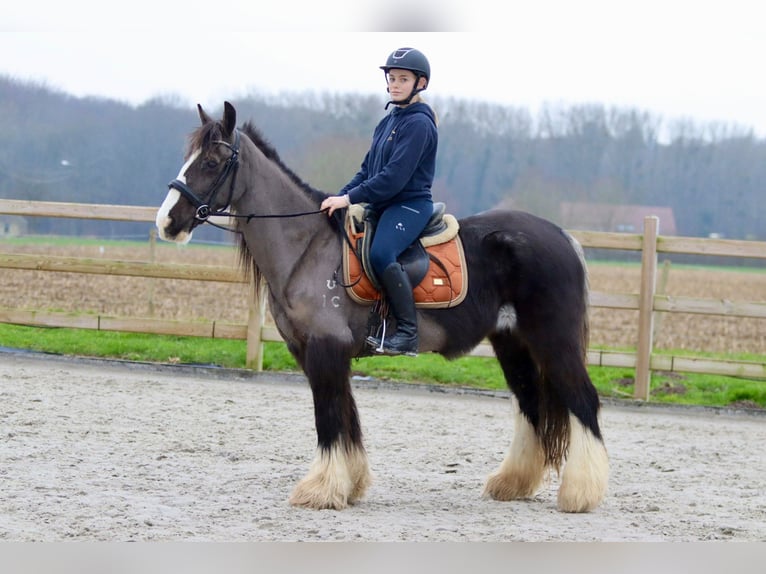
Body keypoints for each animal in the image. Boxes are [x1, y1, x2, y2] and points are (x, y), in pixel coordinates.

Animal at [158, 101, 612, 516]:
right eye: (190, 158)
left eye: (212, 162)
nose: (166, 221)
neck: (308, 248)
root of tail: (562, 236)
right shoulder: (315, 353)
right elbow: (346, 417)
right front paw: (350, 484)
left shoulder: (325, 349)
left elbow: (329, 418)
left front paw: (322, 489)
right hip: (513, 343)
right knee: (531, 404)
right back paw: (513, 483)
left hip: (553, 340)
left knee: (583, 401)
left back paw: (580, 493)